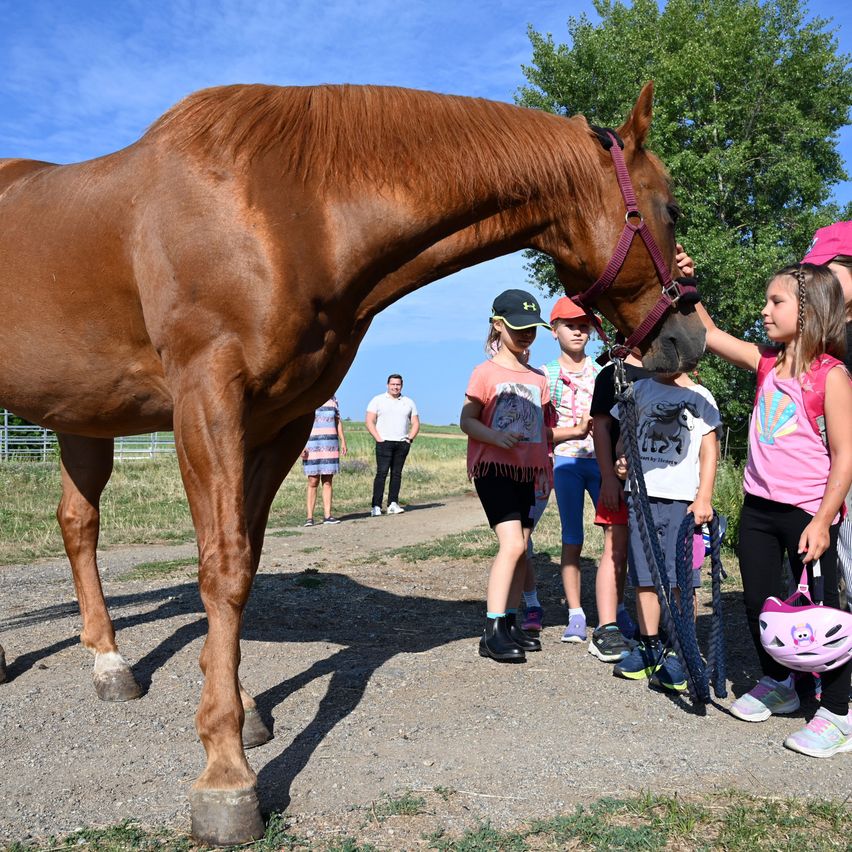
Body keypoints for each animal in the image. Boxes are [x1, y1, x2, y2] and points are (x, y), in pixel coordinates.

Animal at [0, 81, 704, 844]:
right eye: (669, 209)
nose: (690, 335)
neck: (283, 205)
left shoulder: (279, 421)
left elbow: (242, 564)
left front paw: (244, 709)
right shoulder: (207, 399)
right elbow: (221, 568)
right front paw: (225, 775)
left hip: (84, 416)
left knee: (77, 523)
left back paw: (110, 664)